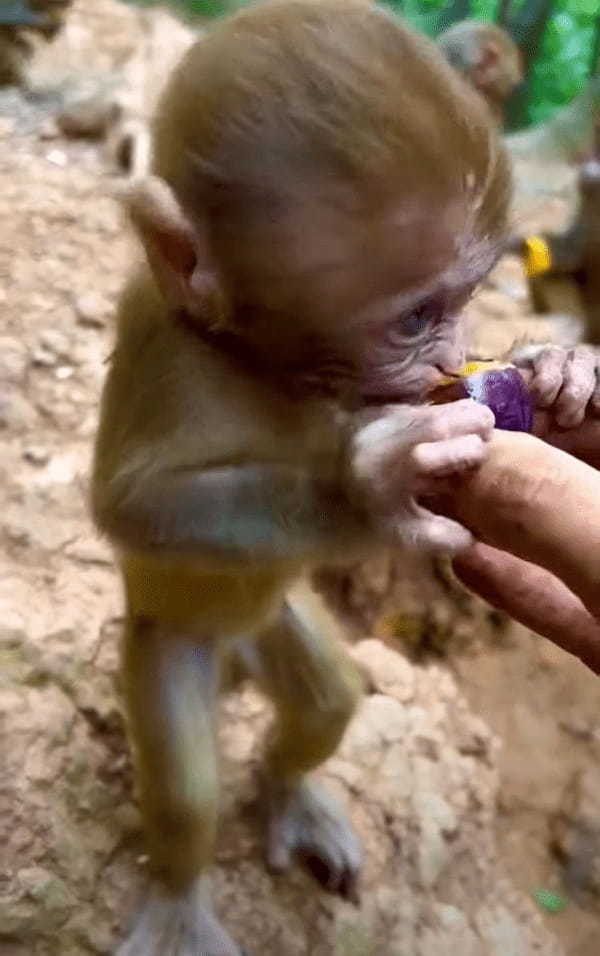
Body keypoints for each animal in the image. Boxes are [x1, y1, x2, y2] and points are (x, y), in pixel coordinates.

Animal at [91, 3, 512, 952]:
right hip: (167, 645)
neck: (259, 363)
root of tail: (232, 655)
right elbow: (138, 508)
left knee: (327, 703)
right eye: (414, 319)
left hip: (279, 624)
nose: (452, 359)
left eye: (470, 299)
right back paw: (180, 897)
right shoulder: (165, 350)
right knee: (188, 792)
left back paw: (290, 794)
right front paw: (367, 490)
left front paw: (567, 375)